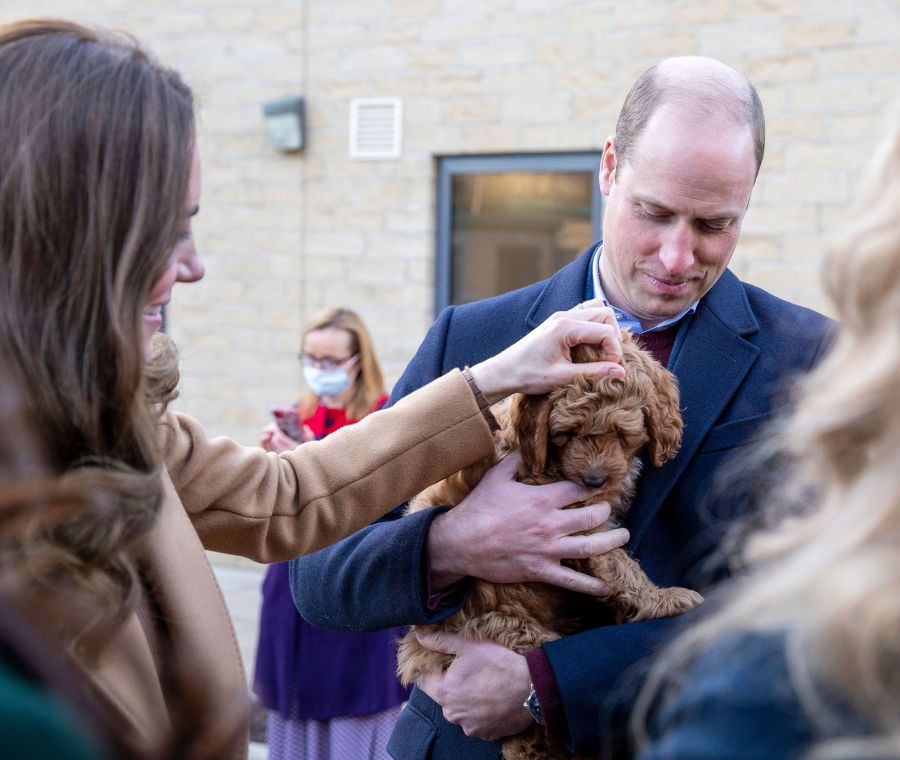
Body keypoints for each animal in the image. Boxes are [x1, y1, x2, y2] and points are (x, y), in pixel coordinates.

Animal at [400, 332, 704, 760]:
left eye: (623, 433)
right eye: (568, 433)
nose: (594, 480)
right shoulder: (565, 519)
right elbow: (617, 561)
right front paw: (664, 599)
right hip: (507, 633)